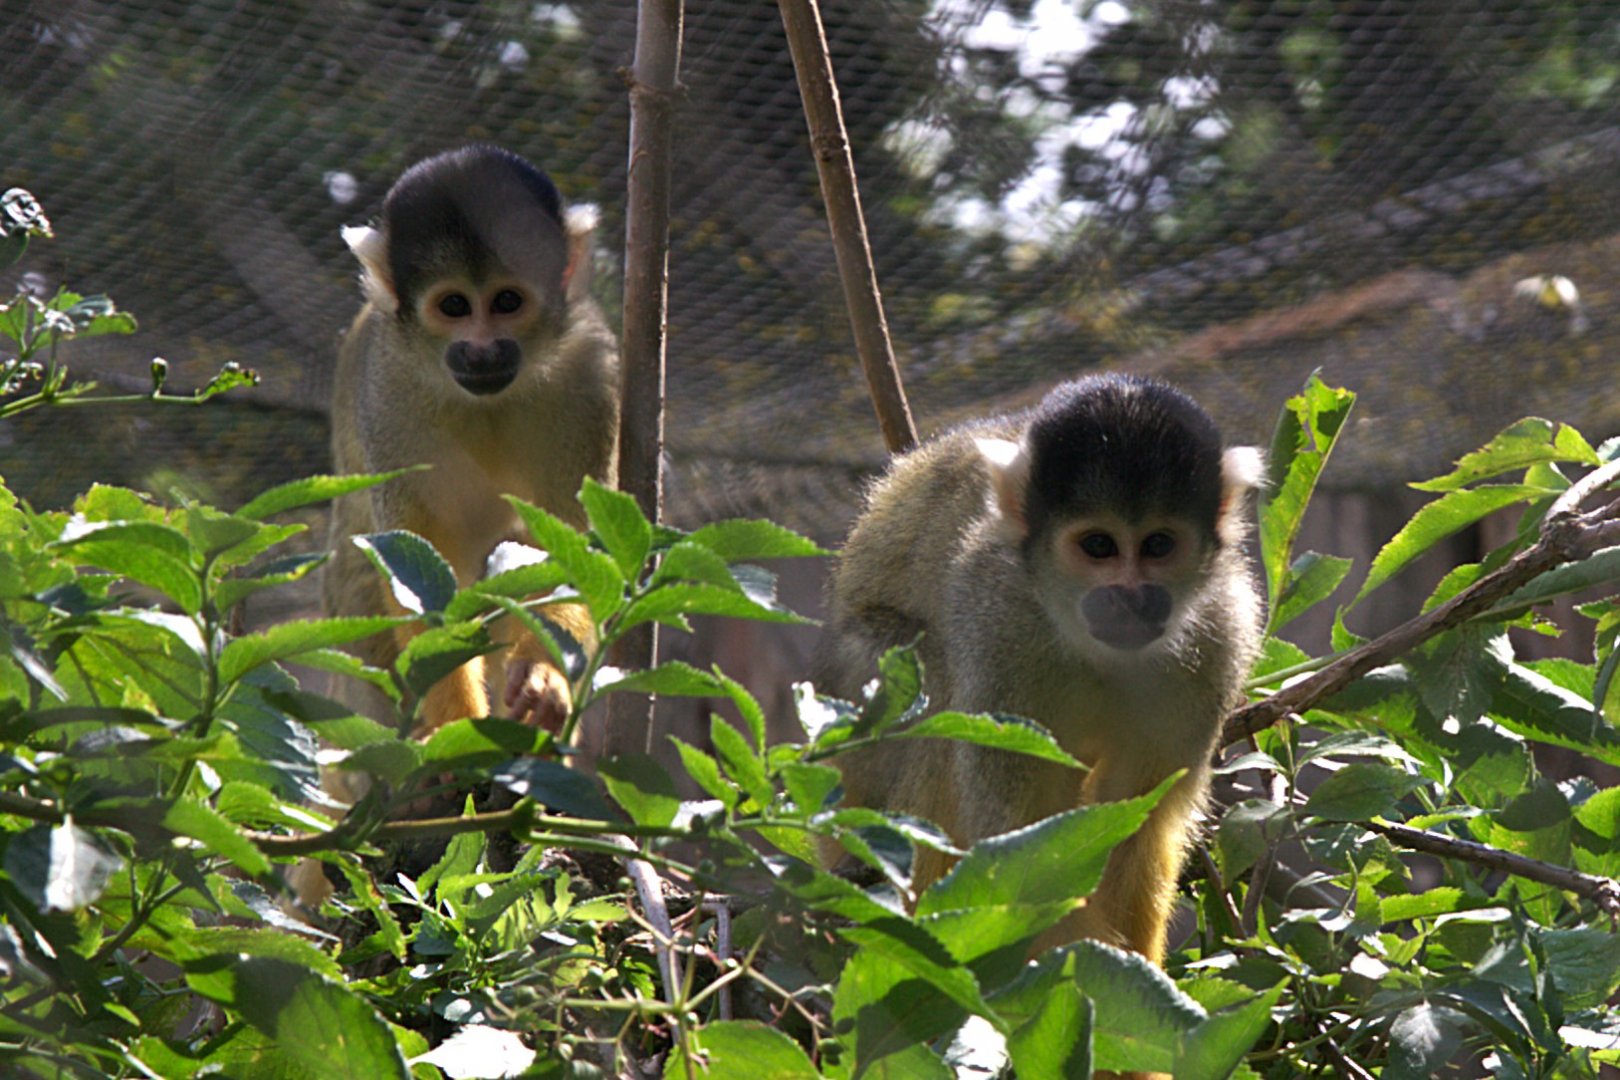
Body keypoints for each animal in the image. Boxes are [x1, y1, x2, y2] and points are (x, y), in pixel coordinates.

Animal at [324, 144, 619, 743]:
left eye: (506, 301)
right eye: (455, 306)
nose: (483, 351)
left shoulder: (589, 369)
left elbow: (573, 537)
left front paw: (545, 674)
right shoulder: (389, 385)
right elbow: (413, 558)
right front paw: (458, 725)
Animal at [814, 373, 1263, 968]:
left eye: (1158, 545)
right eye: (1098, 545)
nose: (1132, 598)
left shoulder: (1220, 636)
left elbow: (1134, 828)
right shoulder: (997, 619)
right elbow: (1024, 847)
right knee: (933, 682)